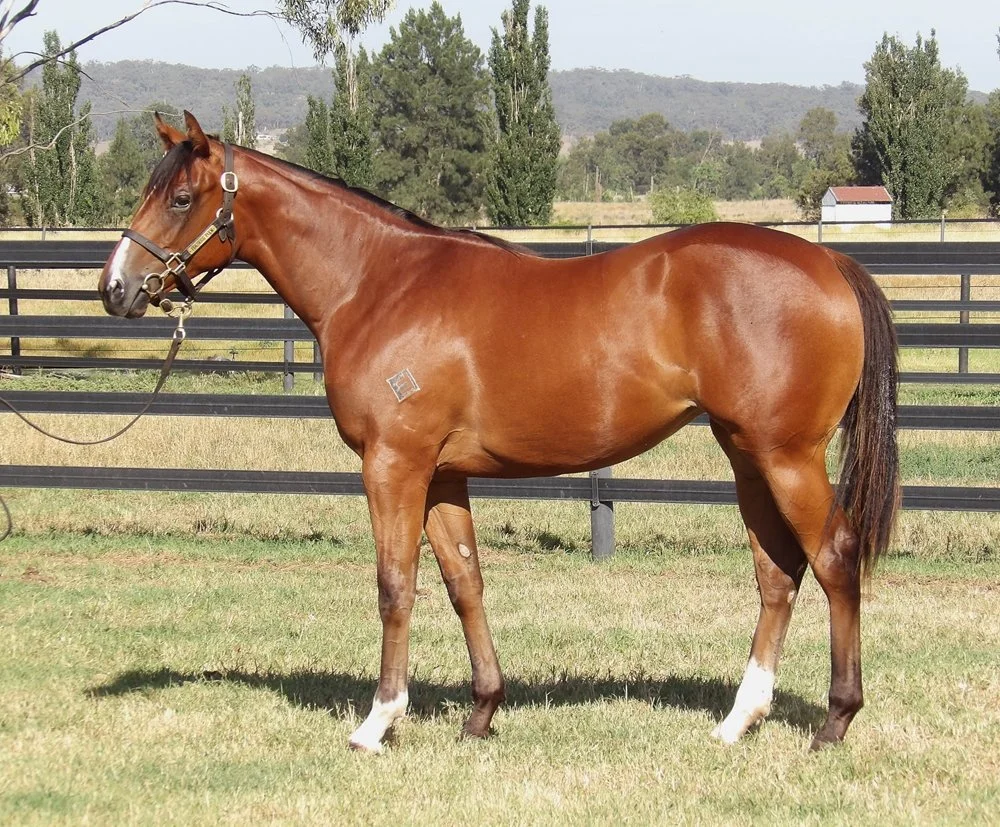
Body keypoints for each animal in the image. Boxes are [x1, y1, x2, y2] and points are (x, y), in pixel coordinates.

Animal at [99, 112, 899, 754]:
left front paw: (377, 722)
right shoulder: (443, 473)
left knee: (833, 558)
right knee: (777, 573)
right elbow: (464, 582)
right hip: (746, 455)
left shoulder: (394, 465)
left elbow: (396, 584)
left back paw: (835, 720)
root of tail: (829, 259)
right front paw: (482, 712)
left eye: (179, 198)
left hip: (786, 457)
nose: (116, 289)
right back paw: (739, 720)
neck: (377, 284)